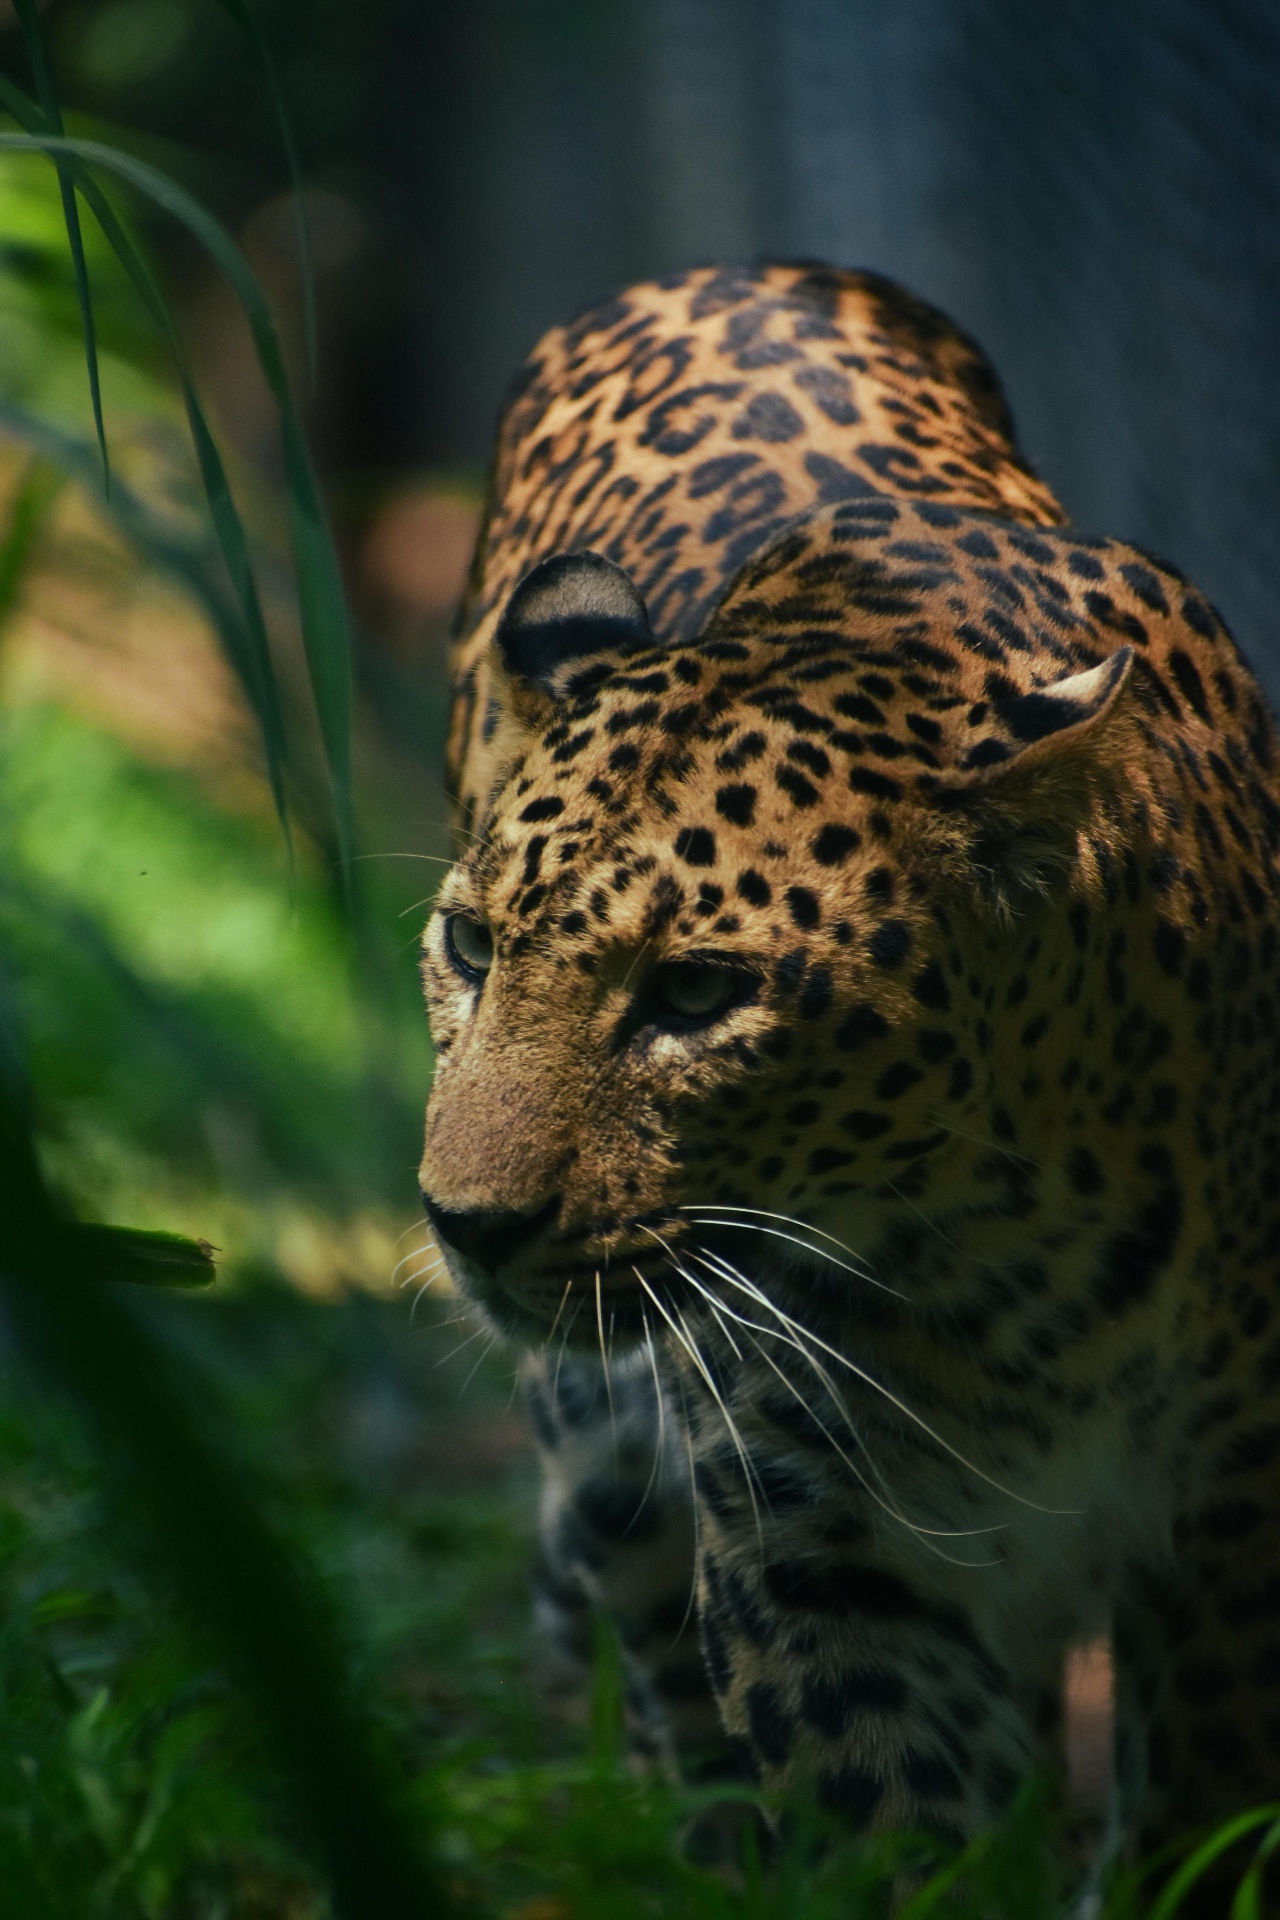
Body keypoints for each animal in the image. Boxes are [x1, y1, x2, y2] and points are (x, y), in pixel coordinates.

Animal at [417, 261, 1280, 1870]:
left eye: (697, 992)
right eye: (468, 943)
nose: (465, 1226)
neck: (995, 1265)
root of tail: (736, 272)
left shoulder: (1233, 1526)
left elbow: (1200, 1819)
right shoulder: (811, 1540)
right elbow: (910, 1843)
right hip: (608, 1449)